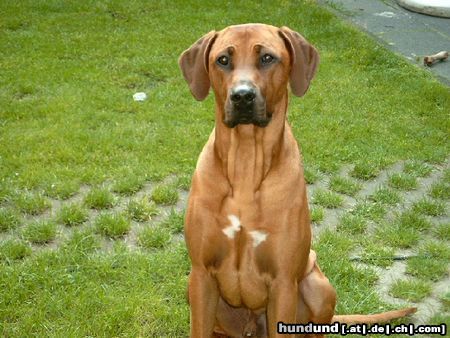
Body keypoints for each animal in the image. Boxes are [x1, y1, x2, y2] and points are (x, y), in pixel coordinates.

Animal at [179, 22, 414, 336]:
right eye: (223, 60)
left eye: (267, 58)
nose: (242, 96)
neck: (245, 164)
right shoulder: (202, 273)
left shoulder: (283, 282)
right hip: (192, 288)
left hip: (319, 286)